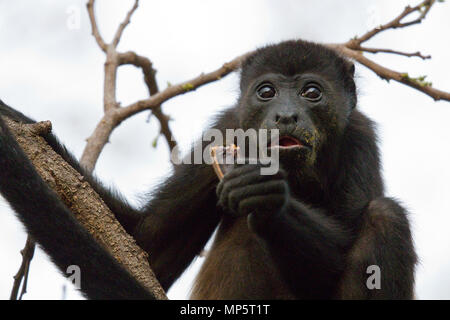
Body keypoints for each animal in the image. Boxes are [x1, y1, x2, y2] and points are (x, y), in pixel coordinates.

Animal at [0, 40, 414, 300]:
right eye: (267, 92)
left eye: (311, 93)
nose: (286, 115)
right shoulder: (223, 130)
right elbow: (147, 244)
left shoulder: (360, 138)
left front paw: (267, 198)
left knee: (386, 215)